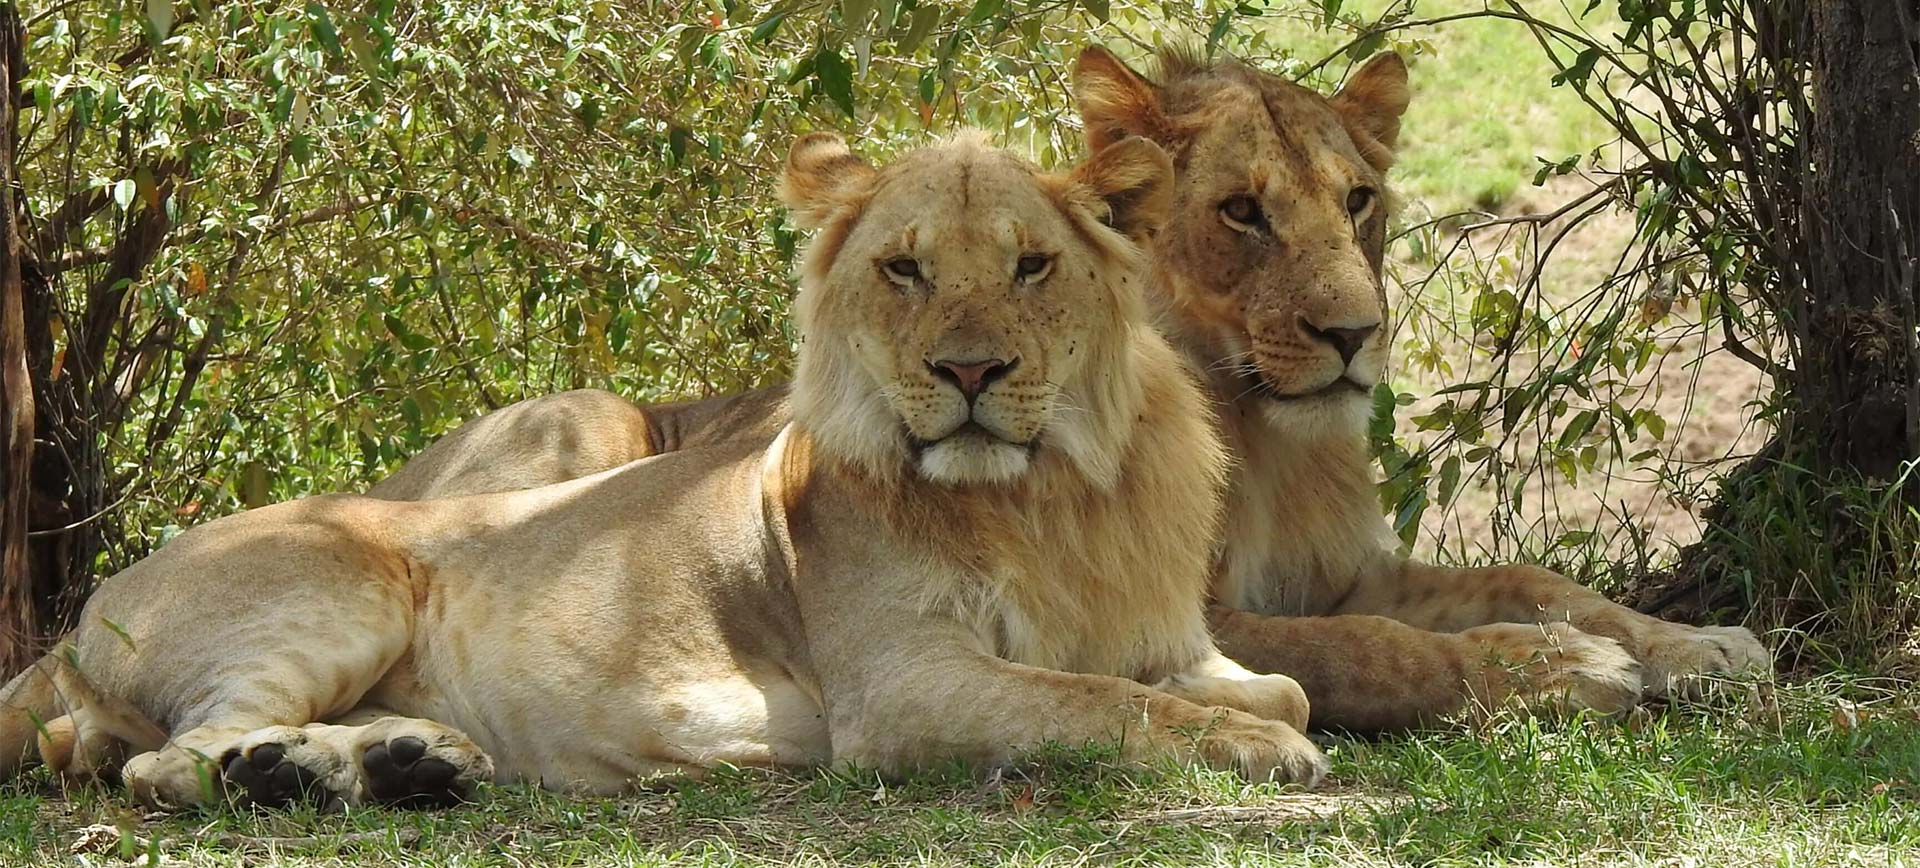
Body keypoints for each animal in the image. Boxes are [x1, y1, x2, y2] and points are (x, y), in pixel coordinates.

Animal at [0, 133, 1328, 806]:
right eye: (903, 268)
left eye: (1033, 266)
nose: (968, 371)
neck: (1052, 493)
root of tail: (87, 604)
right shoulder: (899, 686)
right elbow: (1104, 703)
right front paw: (1263, 757)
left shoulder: (1169, 636)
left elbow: (1271, 686)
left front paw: (1264, 720)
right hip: (344, 579)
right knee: (156, 759)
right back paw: (282, 772)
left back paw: (389, 763)